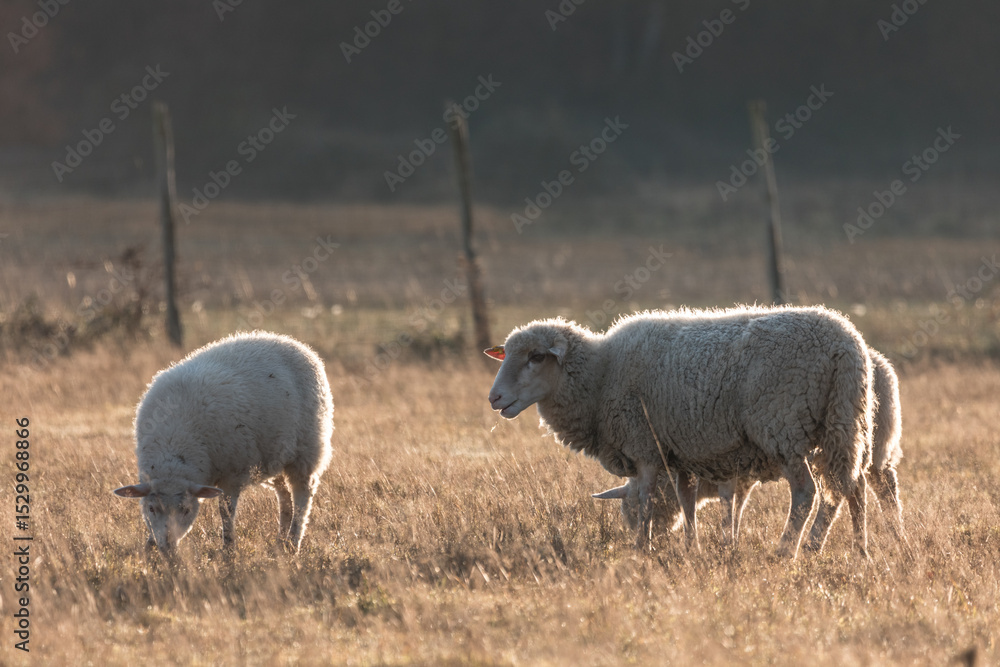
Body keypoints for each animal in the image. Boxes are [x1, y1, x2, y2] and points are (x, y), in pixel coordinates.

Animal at [113, 331, 334, 554]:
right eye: (151, 508)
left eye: (186, 510)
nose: (167, 547)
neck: (174, 444)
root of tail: (289, 340)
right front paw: (149, 547)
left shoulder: (233, 475)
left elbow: (226, 512)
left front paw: (228, 550)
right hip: (276, 455)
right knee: (285, 497)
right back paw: (281, 542)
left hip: (307, 451)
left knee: (302, 498)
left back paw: (293, 542)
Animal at [597, 347, 904, 550]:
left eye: (634, 509)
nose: (652, 541)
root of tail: (882, 365)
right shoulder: (738, 471)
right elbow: (737, 503)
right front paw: (731, 537)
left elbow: (727, 499)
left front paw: (726, 539)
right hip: (866, 447)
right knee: (872, 486)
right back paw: (889, 539)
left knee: (851, 490)